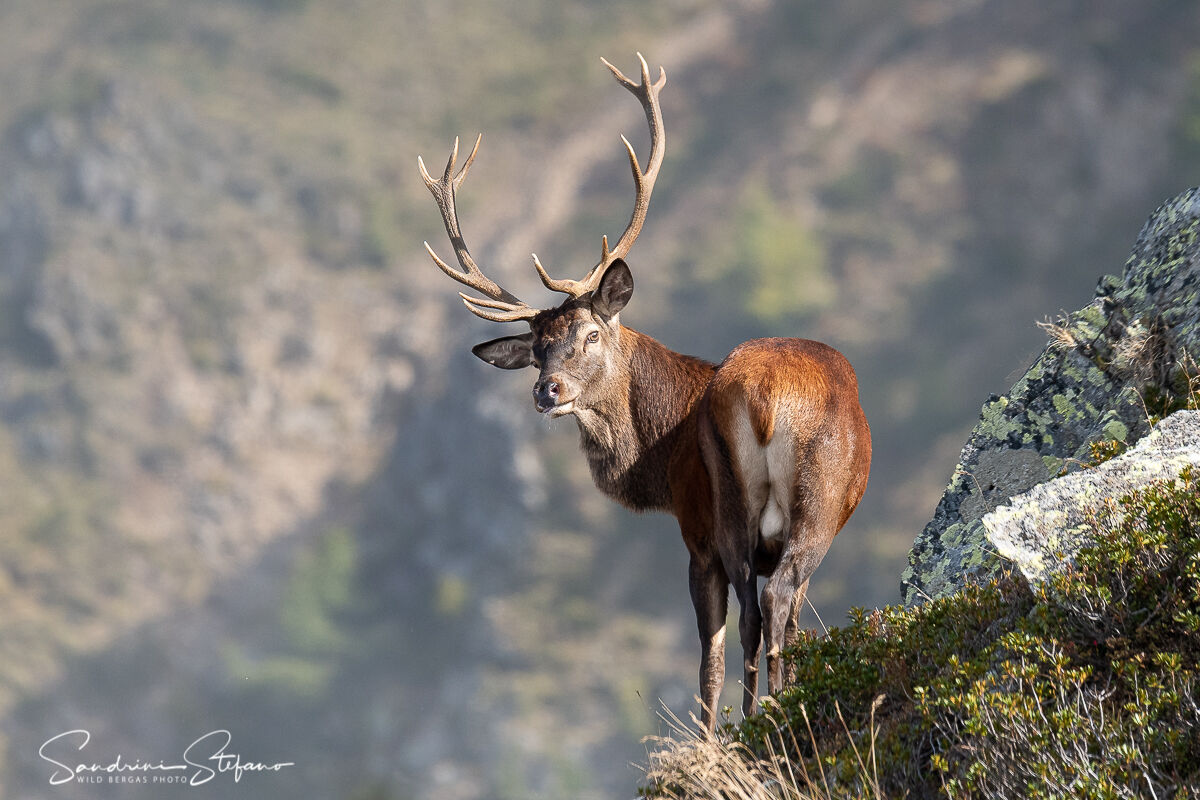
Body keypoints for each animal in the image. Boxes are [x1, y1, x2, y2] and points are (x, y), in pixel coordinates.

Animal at [417, 54, 871, 731]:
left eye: (589, 335)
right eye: (537, 350)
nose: (546, 391)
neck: (659, 459)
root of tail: (768, 397)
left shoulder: (697, 527)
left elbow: (729, 645)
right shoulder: (707, 529)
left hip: (756, 511)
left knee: (759, 612)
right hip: (786, 510)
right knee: (770, 605)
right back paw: (764, 712)